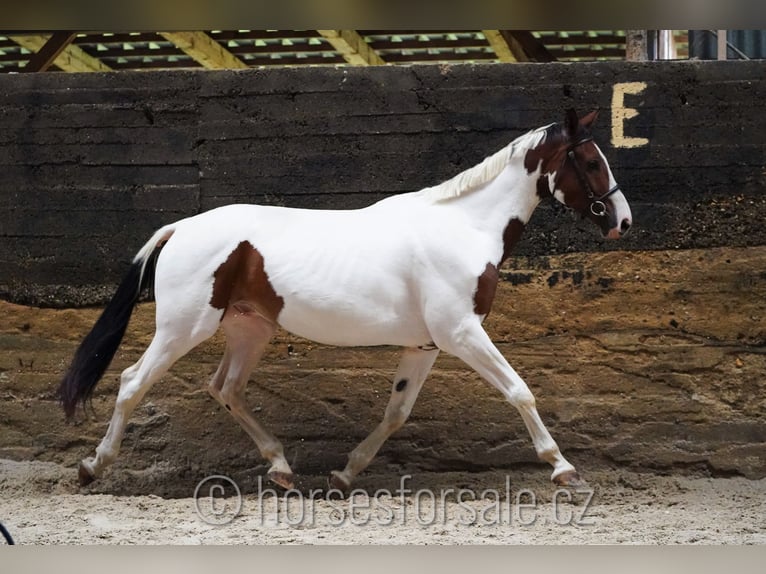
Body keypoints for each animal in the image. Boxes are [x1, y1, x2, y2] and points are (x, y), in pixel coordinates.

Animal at [58, 109, 636, 496]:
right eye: (590, 160)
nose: (623, 221)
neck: (465, 228)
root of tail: (180, 227)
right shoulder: (462, 333)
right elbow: (520, 391)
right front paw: (563, 468)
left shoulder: (426, 345)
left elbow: (397, 412)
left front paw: (345, 472)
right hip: (183, 328)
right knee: (133, 381)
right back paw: (93, 466)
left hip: (250, 329)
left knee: (226, 388)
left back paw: (282, 469)